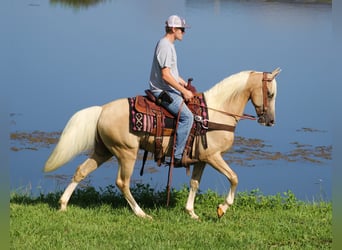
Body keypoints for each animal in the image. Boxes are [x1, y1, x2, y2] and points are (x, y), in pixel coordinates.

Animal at [42, 67, 280, 220]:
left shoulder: (202, 159)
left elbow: (195, 183)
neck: (215, 113)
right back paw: (141, 213)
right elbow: (234, 178)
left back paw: (63, 205)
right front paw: (222, 208)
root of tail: (102, 110)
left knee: (81, 171)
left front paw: (191, 212)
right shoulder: (213, 156)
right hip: (126, 152)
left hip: (104, 151)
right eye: (270, 93)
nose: (270, 121)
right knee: (122, 182)